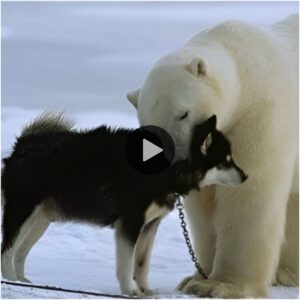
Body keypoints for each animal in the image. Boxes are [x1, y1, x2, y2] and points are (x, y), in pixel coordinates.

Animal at [1, 113, 247, 296]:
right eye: (225, 161)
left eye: (231, 159)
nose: (246, 176)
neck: (168, 167)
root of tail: (22, 145)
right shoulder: (130, 223)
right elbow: (126, 264)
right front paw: (130, 290)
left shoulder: (150, 225)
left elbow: (142, 262)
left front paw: (145, 289)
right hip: (23, 212)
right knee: (7, 249)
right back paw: (12, 280)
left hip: (40, 220)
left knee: (20, 252)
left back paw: (22, 281)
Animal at [127, 14, 298, 298]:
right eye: (151, 130)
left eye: (184, 113)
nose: (177, 164)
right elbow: (204, 204)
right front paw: (196, 278)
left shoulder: (259, 116)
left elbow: (248, 194)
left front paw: (222, 285)